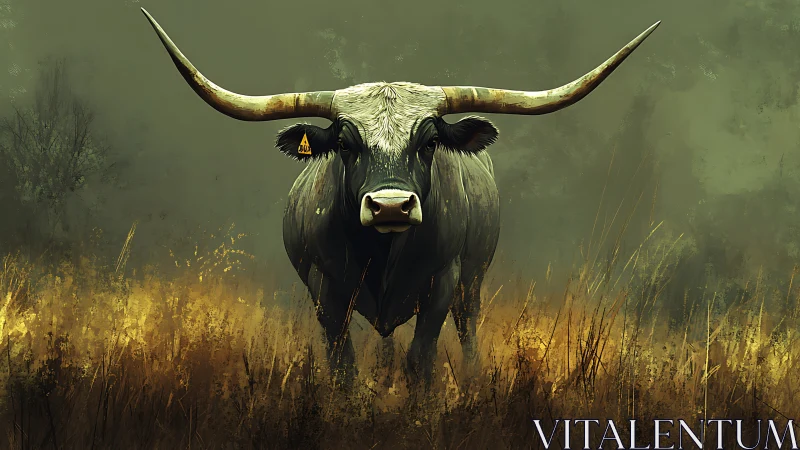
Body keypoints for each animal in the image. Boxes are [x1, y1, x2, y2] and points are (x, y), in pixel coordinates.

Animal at [141, 8, 659, 389]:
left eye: (429, 142)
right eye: (345, 143)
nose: (391, 206)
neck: (383, 255)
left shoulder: (443, 282)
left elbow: (421, 360)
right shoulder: (325, 290)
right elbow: (344, 367)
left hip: (472, 283)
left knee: (467, 332)